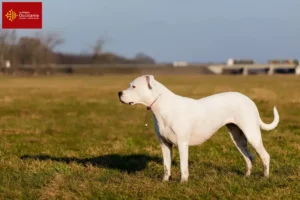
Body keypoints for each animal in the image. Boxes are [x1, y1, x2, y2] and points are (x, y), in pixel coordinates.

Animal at [117, 75, 278, 183]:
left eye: (133, 87)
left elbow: (183, 166)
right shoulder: (165, 144)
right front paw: (164, 181)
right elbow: (166, 166)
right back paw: (247, 176)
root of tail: (249, 100)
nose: (119, 93)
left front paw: (183, 183)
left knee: (265, 156)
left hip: (252, 134)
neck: (162, 107)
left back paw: (265, 177)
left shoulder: (182, 144)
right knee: (249, 157)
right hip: (237, 137)